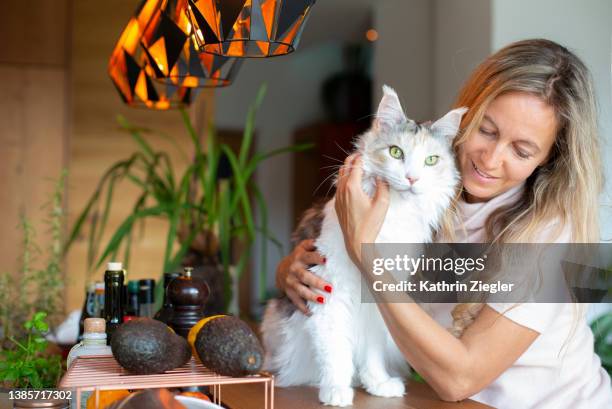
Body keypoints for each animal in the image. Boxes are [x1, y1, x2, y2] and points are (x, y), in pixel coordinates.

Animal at [260, 86, 466, 404]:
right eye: (396, 152)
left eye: (431, 160)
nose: (412, 178)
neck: (391, 217)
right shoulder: (329, 295)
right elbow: (336, 352)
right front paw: (336, 391)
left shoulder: (380, 302)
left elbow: (372, 352)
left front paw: (378, 383)